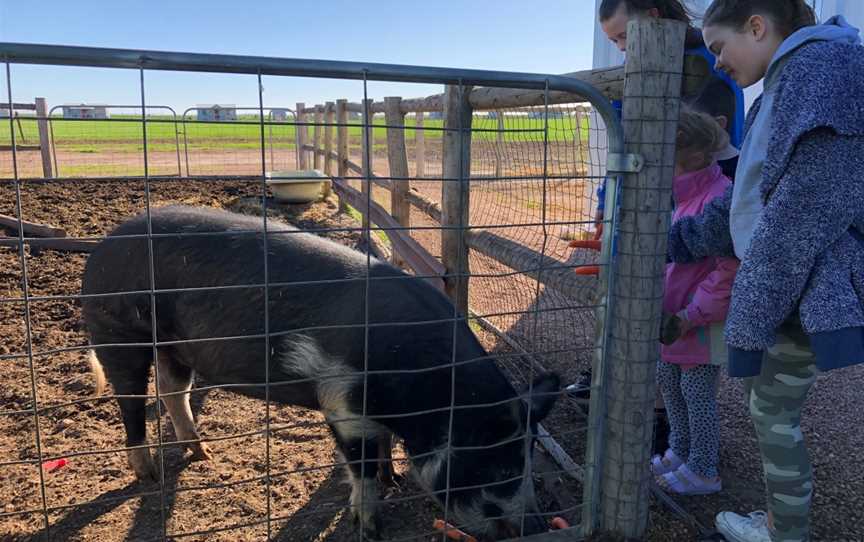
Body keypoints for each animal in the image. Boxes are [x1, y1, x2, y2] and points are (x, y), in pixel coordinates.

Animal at [82, 206, 560, 540]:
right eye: (495, 467)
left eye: (527, 458)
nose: (535, 526)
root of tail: (101, 247)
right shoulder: (342, 400)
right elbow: (360, 463)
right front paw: (369, 527)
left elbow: (382, 448)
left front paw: (393, 477)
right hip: (117, 332)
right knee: (132, 403)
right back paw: (149, 475)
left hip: (174, 345)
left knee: (172, 391)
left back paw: (202, 455)